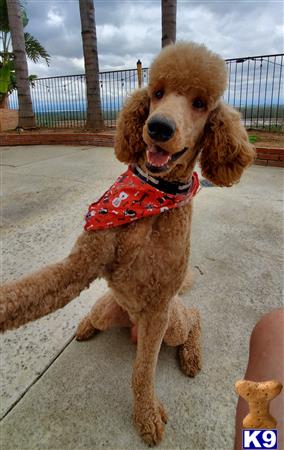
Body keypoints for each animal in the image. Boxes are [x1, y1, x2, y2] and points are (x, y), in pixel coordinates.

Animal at [0, 43, 254, 446]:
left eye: (200, 103)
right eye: (157, 93)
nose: (158, 127)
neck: (149, 198)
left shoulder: (158, 307)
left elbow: (143, 371)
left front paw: (146, 416)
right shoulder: (82, 263)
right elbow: (28, 292)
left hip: (172, 322)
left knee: (194, 318)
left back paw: (191, 357)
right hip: (109, 309)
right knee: (97, 315)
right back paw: (86, 326)